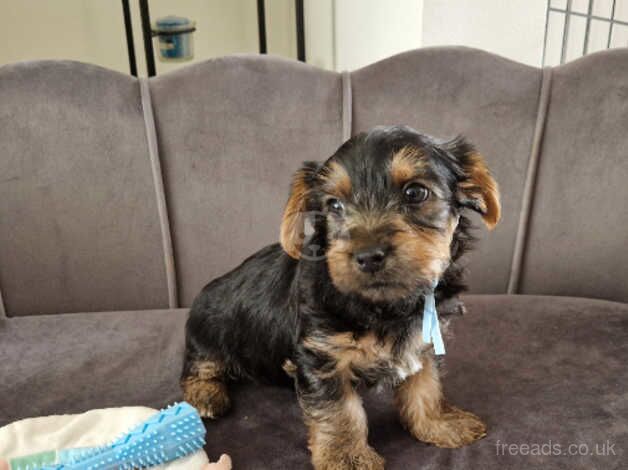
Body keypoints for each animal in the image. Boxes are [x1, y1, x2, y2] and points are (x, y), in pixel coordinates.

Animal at [180, 126, 500, 470]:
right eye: (334, 205)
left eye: (415, 193)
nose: (368, 256)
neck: (384, 306)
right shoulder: (322, 355)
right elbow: (339, 410)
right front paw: (346, 456)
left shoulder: (424, 339)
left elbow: (426, 384)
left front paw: (439, 423)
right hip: (211, 327)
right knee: (200, 364)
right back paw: (205, 394)